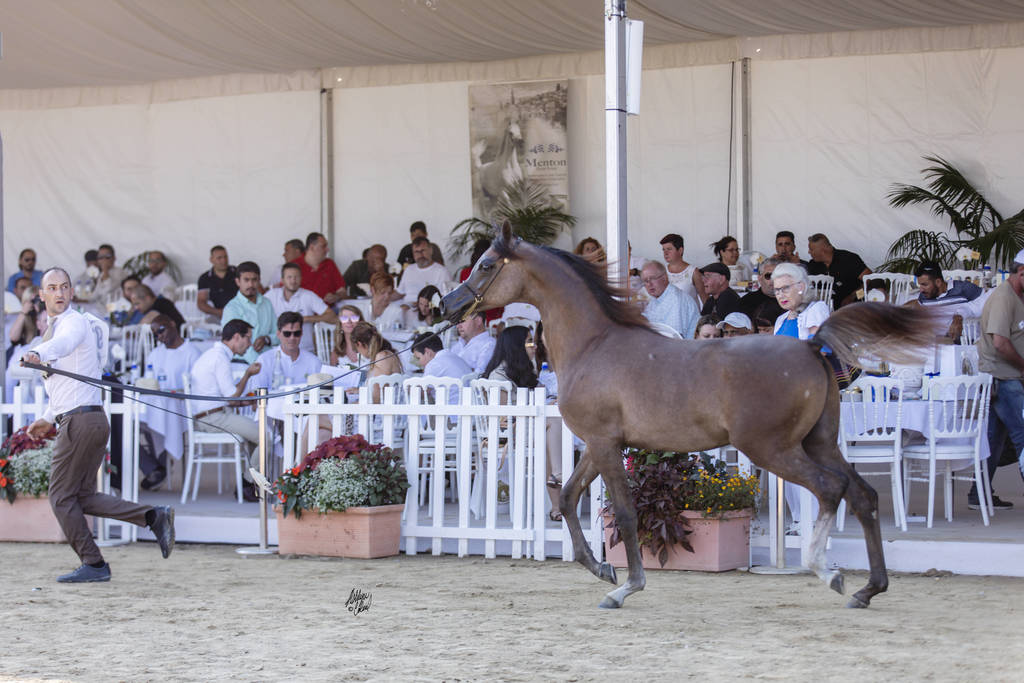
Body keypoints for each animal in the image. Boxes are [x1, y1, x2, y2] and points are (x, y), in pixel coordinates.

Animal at [440, 221, 941, 610]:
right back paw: (869, 589)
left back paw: (826, 571)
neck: (594, 344)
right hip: (819, 442)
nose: (447, 305)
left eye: (486, 264)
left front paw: (625, 587)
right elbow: (565, 499)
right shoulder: (600, 445)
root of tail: (809, 346)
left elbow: (623, 513)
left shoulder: (604, 444)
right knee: (862, 495)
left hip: (772, 448)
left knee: (830, 489)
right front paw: (601, 570)